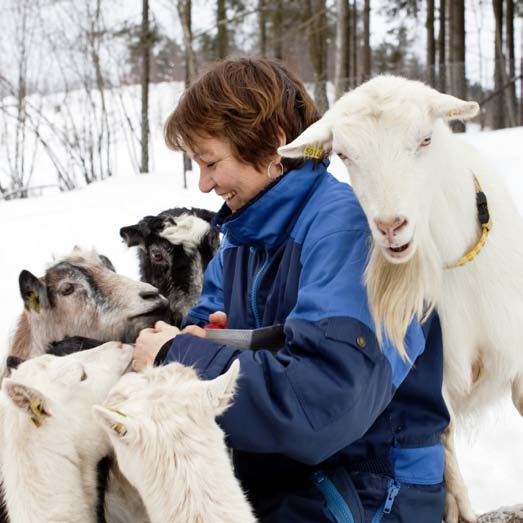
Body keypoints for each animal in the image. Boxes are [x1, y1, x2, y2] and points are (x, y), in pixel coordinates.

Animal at [278, 74, 523, 523]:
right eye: (344, 154)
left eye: (425, 138)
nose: (391, 226)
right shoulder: (433, 369)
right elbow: (439, 433)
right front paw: (459, 509)